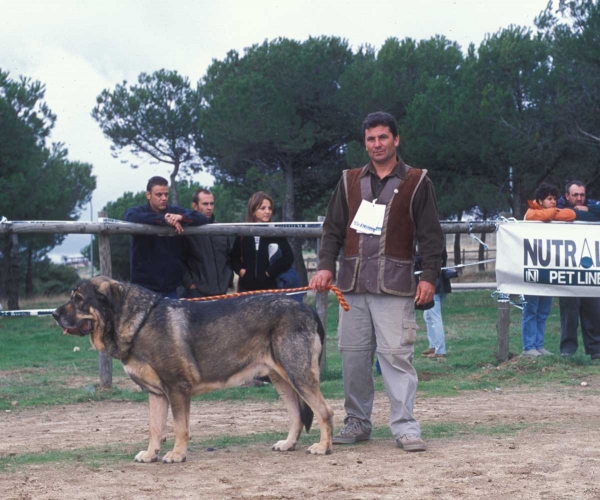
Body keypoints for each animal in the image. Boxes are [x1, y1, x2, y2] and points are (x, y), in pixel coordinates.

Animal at [54, 276, 336, 462]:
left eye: (78, 299)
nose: (55, 314)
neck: (140, 322)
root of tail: (307, 308)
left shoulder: (177, 389)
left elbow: (180, 427)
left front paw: (177, 454)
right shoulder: (157, 395)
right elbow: (155, 427)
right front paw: (150, 454)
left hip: (299, 375)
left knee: (325, 411)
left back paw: (323, 447)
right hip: (281, 379)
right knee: (297, 415)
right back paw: (288, 444)